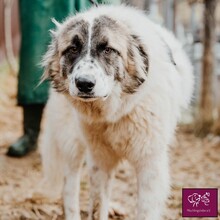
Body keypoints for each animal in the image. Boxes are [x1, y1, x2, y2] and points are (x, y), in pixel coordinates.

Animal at [40, 4, 193, 220]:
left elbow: (144, 211)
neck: (115, 113)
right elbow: (96, 207)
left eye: (107, 49)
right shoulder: (99, 158)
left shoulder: (149, 164)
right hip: (72, 143)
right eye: (73, 48)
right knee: (69, 186)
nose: (84, 83)